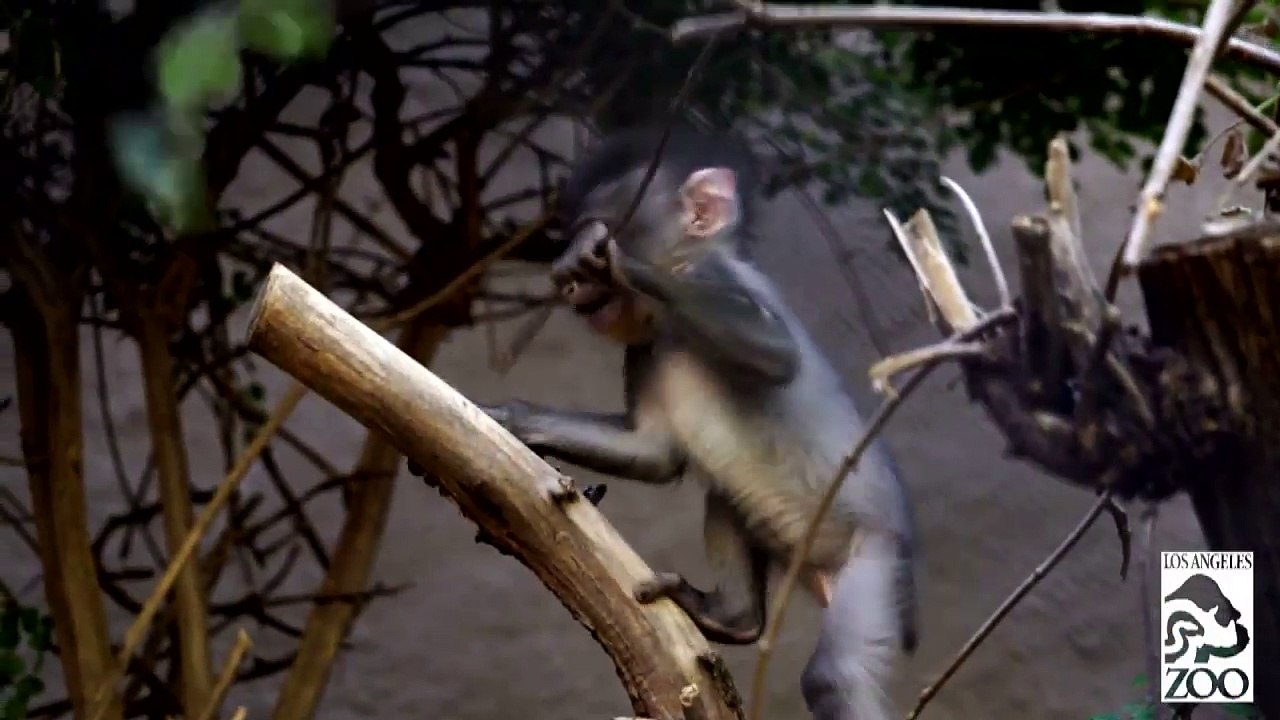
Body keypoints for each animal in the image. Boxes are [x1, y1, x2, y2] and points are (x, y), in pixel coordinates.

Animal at [433, 126, 919, 720]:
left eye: (606, 226)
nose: (564, 280)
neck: (670, 323)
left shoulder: (718, 278)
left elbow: (777, 355)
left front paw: (618, 262)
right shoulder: (643, 351)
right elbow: (656, 452)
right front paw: (510, 421)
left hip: (877, 557)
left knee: (834, 675)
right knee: (728, 493)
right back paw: (731, 618)